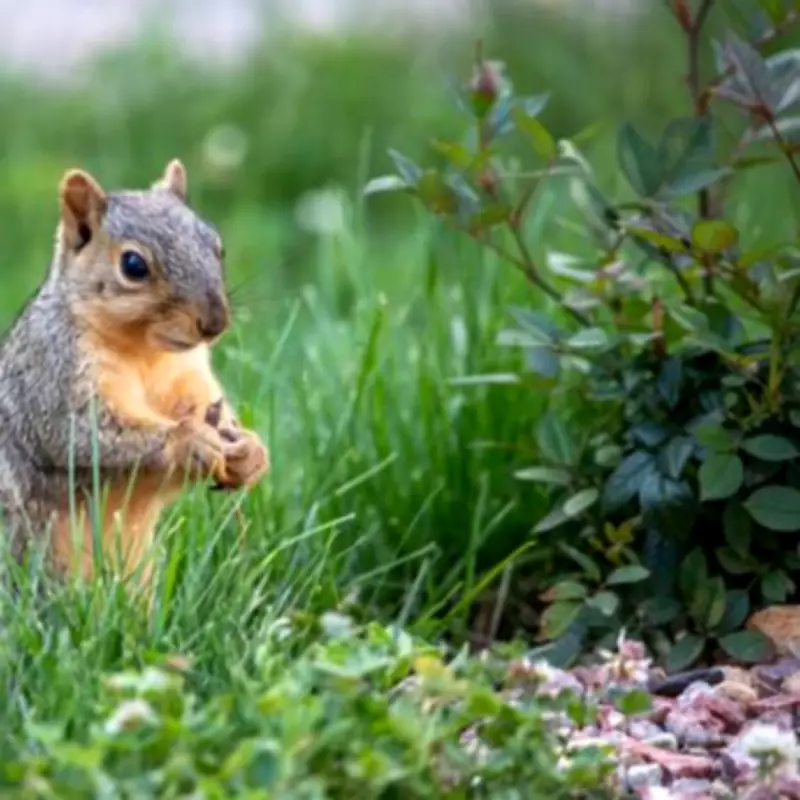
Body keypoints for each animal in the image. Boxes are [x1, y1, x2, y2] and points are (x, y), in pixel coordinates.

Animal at [0, 159, 269, 588]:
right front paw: (189, 440)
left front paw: (250, 450)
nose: (215, 323)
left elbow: (204, 406)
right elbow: (85, 432)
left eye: (217, 246)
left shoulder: (186, 376)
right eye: (133, 266)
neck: (145, 353)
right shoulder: (52, 374)